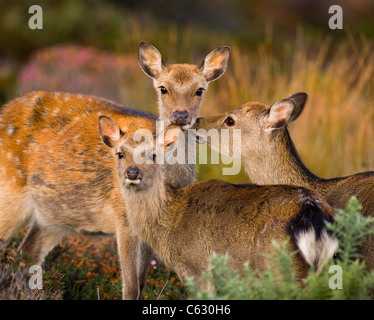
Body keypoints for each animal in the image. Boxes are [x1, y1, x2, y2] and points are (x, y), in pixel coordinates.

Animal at [0, 41, 229, 298]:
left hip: (52, 216)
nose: (180, 116)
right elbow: (130, 286)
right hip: (9, 191)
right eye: (163, 88)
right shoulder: (124, 220)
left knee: (27, 252)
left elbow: (141, 282)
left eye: (200, 90)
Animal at [99, 117, 338, 280]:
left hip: (280, 265)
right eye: (120, 154)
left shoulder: (198, 268)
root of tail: (312, 212)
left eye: (153, 155)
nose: (132, 173)